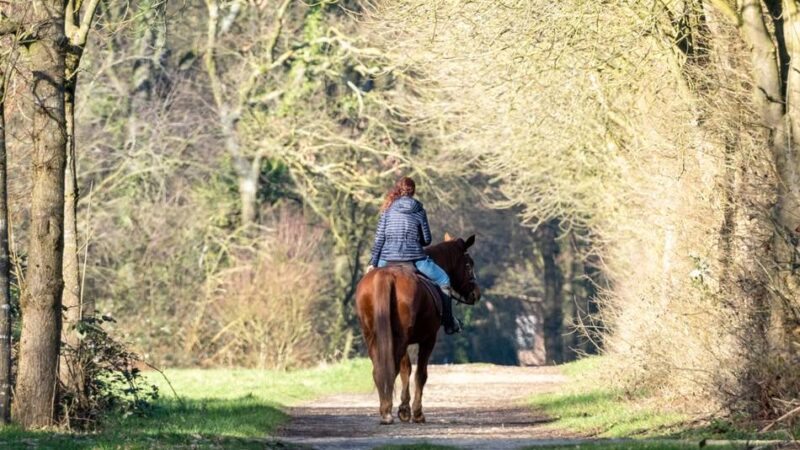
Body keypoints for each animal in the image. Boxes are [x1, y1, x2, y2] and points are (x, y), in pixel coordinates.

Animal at [355, 233, 481, 424]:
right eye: (468, 265)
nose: (476, 294)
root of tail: (386, 276)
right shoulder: (428, 339)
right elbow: (420, 374)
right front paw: (416, 412)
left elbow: (406, 369)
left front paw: (404, 409)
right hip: (402, 337)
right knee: (392, 369)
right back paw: (387, 410)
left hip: (373, 336)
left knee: (379, 369)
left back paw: (384, 408)